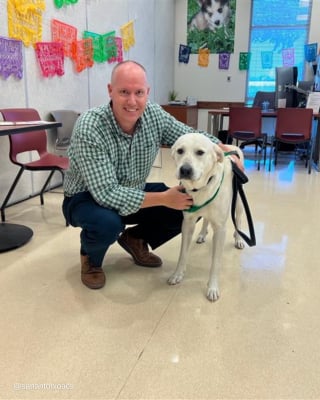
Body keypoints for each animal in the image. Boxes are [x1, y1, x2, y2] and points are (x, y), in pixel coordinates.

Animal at [168, 133, 245, 302]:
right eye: (180, 151)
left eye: (200, 152)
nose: (185, 170)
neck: (200, 188)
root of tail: (233, 146)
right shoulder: (187, 223)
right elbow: (182, 254)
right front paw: (177, 274)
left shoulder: (220, 229)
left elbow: (215, 263)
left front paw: (212, 287)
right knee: (206, 219)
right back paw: (202, 234)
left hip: (238, 201)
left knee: (239, 220)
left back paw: (239, 239)